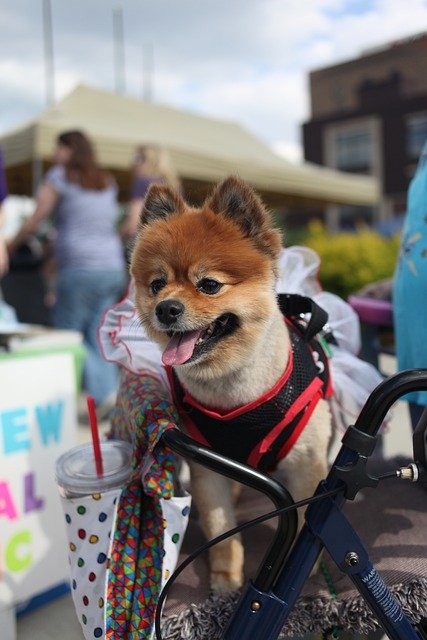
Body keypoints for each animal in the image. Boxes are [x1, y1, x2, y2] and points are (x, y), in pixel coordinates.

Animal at [132, 175, 332, 592]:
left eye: (209, 284)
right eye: (157, 285)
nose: (166, 308)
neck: (232, 393)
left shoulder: (307, 463)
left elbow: (306, 520)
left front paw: (300, 572)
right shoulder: (209, 469)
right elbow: (220, 526)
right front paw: (226, 577)